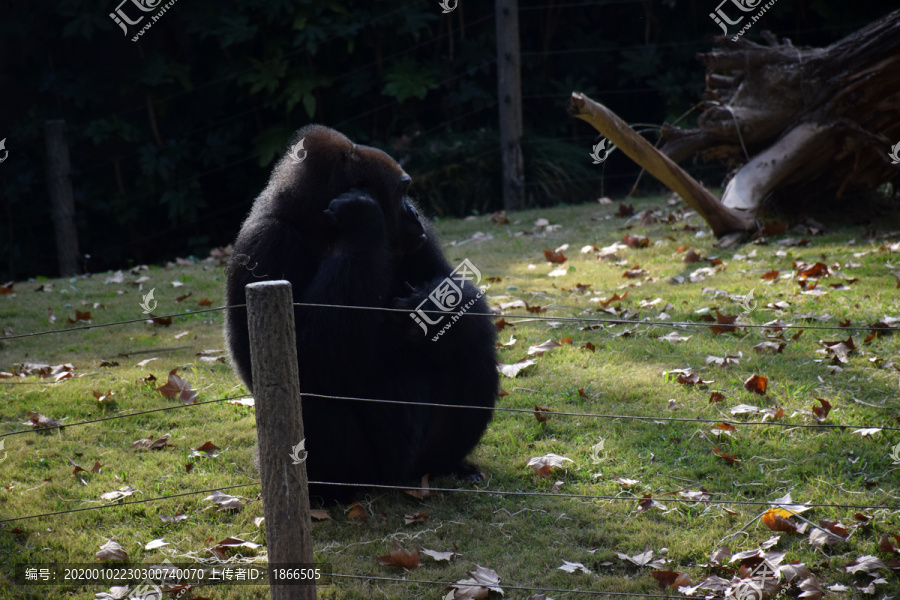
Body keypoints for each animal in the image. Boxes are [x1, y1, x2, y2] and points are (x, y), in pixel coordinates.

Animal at [221, 124, 496, 494]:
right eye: (401, 191)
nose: (413, 213)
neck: (316, 223)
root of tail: (400, 479)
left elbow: (455, 293)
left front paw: (428, 307)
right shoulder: (265, 242)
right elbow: (302, 360)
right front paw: (362, 219)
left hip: (422, 460)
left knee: (471, 341)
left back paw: (450, 465)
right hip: (367, 470)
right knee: (306, 394)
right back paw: (326, 490)